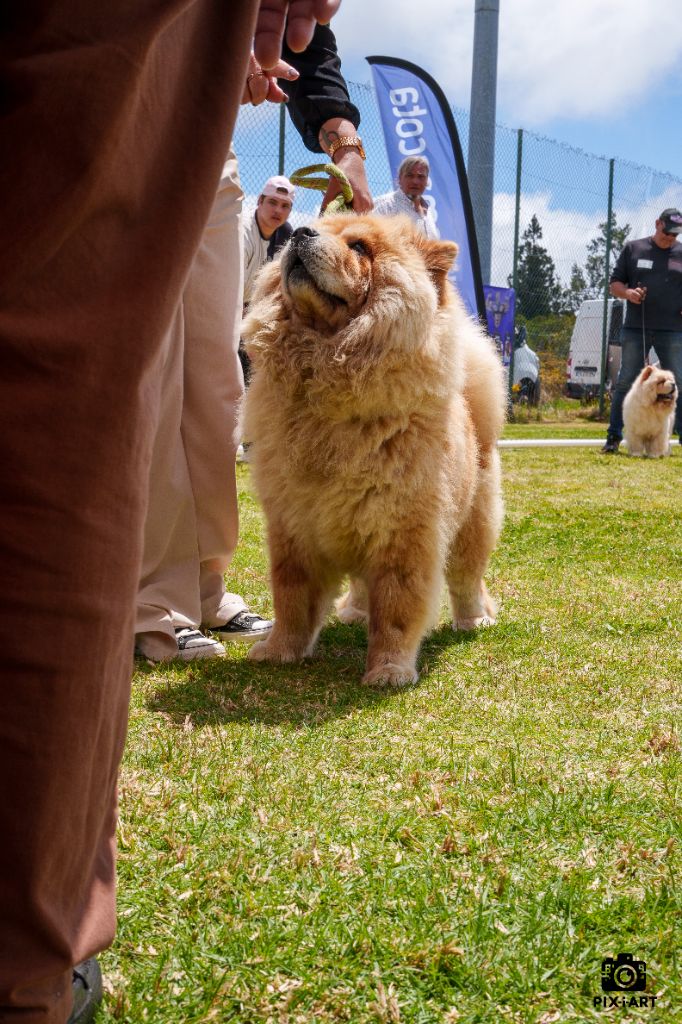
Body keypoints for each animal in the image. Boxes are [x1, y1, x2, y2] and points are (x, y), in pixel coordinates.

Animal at [240, 211, 503, 684]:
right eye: (311, 228)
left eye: (360, 247)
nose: (300, 233)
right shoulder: (293, 530)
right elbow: (291, 600)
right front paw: (279, 651)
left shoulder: (404, 534)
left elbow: (397, 609)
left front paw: (388, 670)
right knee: (363, 586)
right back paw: (354, 612)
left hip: (473, 523)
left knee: (466, 579)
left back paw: (475, 619)